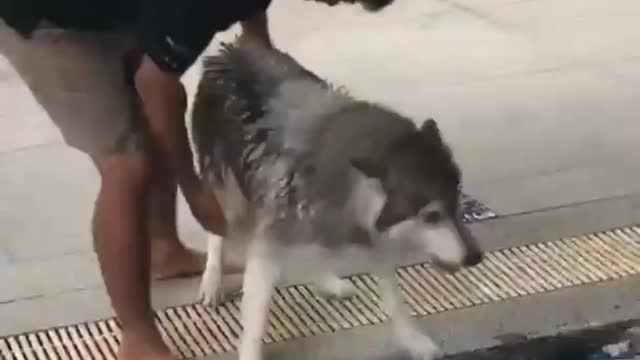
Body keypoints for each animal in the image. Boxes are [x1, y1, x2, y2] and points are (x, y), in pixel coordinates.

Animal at [192, 42, 482, 360]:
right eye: (432, 216)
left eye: (457, 203)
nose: (476, 257)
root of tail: (232, 47)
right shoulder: (271, 241)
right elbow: (256, 320)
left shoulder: (366, 235)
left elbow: (395, 299)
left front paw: (413, 339)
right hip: (227, 193)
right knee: (217, 234)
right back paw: (212, 281)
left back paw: (327, 280)